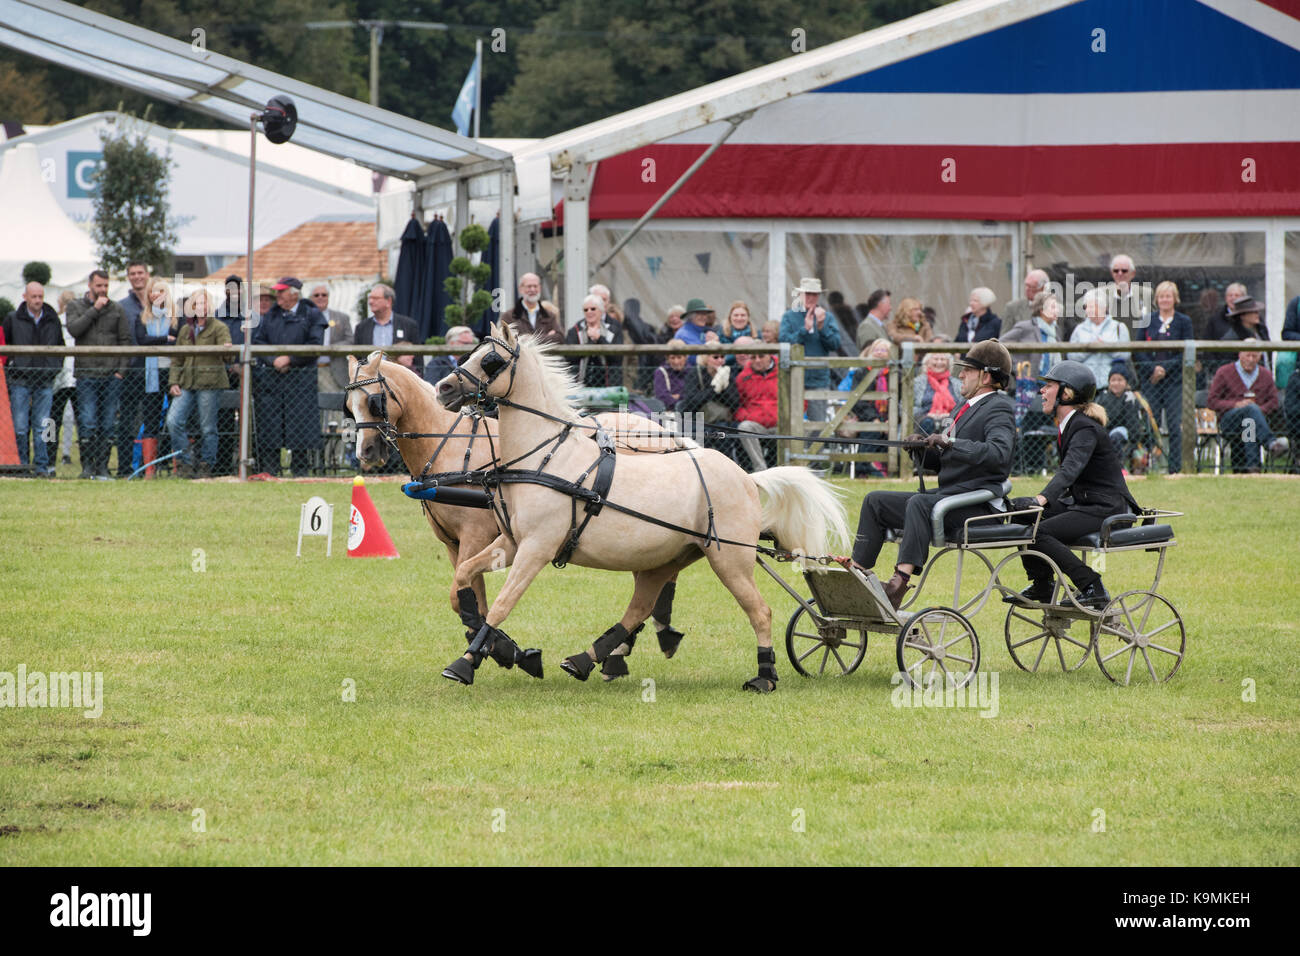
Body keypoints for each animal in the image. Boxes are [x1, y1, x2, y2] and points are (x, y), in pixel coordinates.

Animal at [343, 351, 691, 681]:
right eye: (349, 406)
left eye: (374, 401)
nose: (366, 452)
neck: (449, 445)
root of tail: (666, 435)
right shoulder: (454, 543)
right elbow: (474, 597)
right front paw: (505, 651)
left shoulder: (476, 536)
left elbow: (461, 597)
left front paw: (502, 652)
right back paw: (632, 647)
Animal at [431, 325, 847, 691]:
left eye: (492, 360)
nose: (443, 387)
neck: (543, 458)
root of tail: (747, 477)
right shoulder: (512, 542)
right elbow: (464, 577)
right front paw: (492, 642)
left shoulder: (536, 548)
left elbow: (502, 604)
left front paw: (465, 663)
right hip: (667, 559)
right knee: (640, 609)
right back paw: (586, 660)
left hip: (730, 559)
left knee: (759, 612)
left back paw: (765, 676)